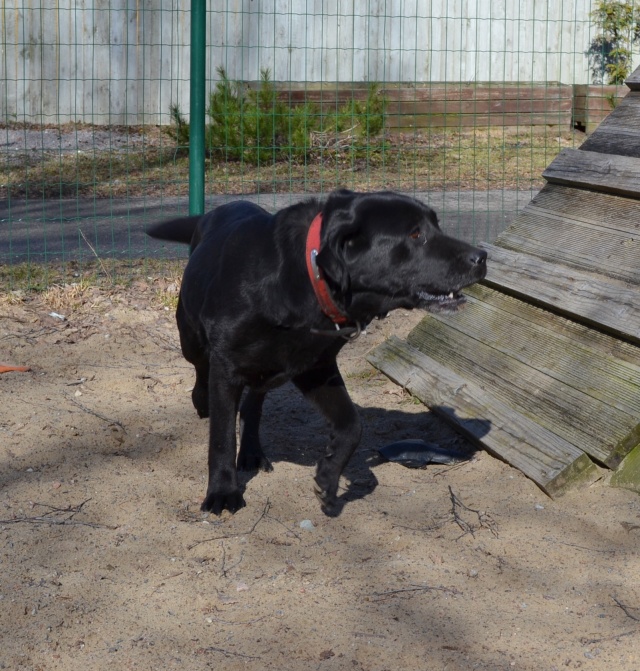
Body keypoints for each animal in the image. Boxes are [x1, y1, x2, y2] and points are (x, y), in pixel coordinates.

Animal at [147, 190, 487, 515]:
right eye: (416, 234)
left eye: (436, 226)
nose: (482, 257)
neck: (307, 278)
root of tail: (209, 215)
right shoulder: (227, 366)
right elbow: (221, 438)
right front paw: (222, 492)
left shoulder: (316, 368)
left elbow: (352, 426)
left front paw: (328, 479)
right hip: (191, 338)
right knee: (201, 369)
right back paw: (202, 401)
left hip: (265, 369)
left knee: (253, 404)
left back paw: (253, 452)